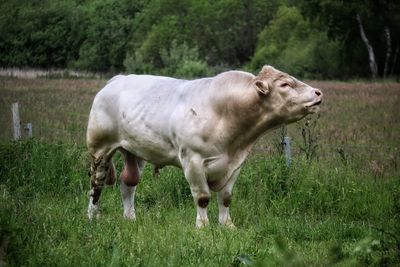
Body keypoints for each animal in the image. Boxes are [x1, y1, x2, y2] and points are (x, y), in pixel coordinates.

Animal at [86, 65, 322, 228]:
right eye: (284, 85)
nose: (318, 93)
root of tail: (118, 79)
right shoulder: (193, 161)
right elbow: (202, 197)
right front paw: (203, 226)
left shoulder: (235, 164)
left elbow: (226, 198)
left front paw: (228, 226)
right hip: (100, 148)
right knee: (96, 184)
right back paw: (92, 216)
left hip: (135, 151)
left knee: (128, 184)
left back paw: (130, 218)